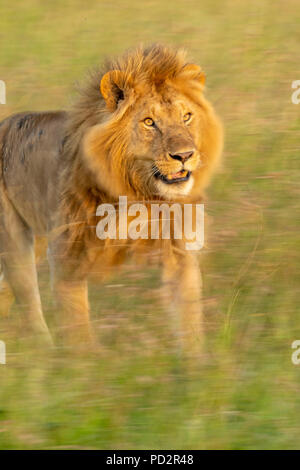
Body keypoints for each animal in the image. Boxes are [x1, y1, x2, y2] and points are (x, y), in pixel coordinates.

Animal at [0, 45, 221, 356]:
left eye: (186, 116)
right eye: (149, 122)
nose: (185, 155)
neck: (137, 192)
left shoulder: (178, 247)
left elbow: (188, 315)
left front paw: (197, 364)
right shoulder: (68, 252)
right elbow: (76, 321)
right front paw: (82, 363)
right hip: (13, 238)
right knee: (27, 295)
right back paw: (45, 351)